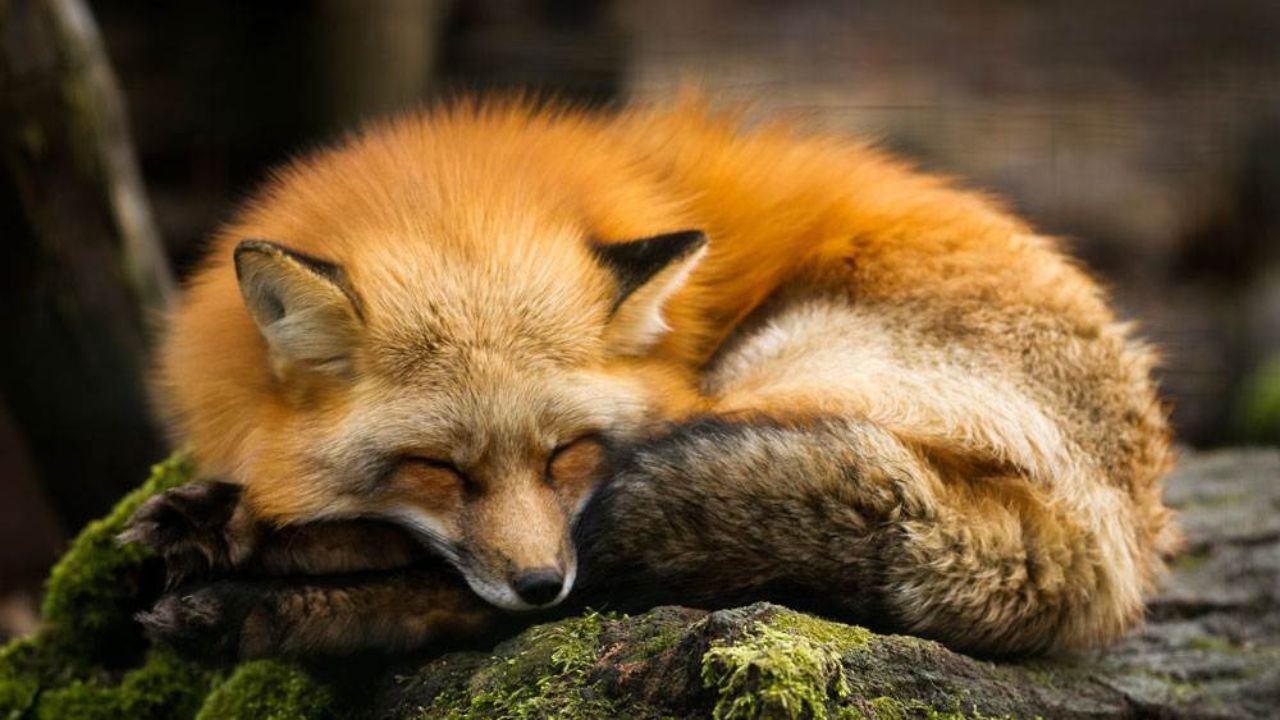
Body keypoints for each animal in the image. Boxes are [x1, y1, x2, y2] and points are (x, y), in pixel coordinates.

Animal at [121, 94, 1176, 659]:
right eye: (438, 469)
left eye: (568, 454)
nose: (538, 583)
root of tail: (1120, 539)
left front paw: (243, 535)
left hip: (773, 380)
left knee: (541, 588)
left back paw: (252, 596)